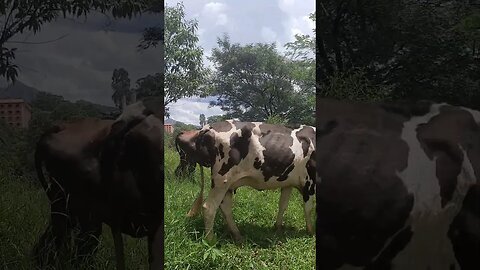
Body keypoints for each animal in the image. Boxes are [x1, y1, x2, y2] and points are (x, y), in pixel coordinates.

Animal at [186, 120, 316, 243]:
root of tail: (208, 127)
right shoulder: (310, 181)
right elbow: (308, 208)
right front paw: (311, 232)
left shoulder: (288, 182)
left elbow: (283, 205)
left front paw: (278, 227)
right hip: (221, 180)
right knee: (209, 208)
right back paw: (210, 240)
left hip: (227, 184)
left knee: (225, 207)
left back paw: (237, 235)